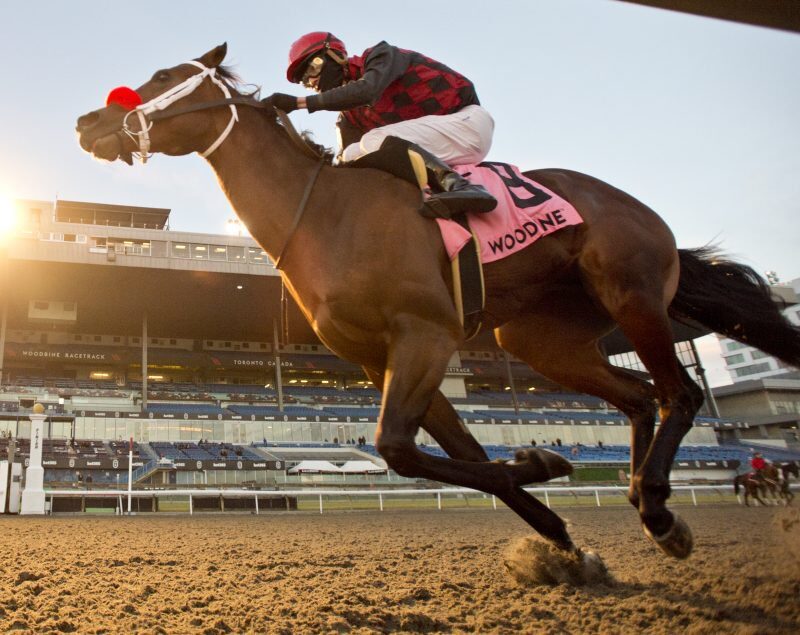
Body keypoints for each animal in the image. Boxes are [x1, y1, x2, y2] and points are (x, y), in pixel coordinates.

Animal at [76, 43, 800, 560]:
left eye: (163, 73)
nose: (89, 120)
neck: (323, 213)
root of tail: (640, 210)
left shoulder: (425, 334)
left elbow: (397, 447)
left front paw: (542, 469)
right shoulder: (381, 356)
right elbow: (467, 456)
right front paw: (547, 500)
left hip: (633, 292)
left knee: (680, 392)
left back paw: (656, 506)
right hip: (541, 339)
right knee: (639, 397)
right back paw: (641, 496)